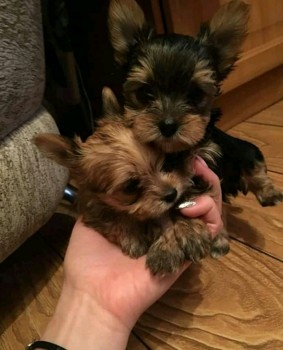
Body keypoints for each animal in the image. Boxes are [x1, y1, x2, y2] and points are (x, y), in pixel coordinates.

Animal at [34, 87, 230, 274]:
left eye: (167, 163)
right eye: (131, 187)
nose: (171, 194)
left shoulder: (192, 171)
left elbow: (183, 201)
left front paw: (188, 233)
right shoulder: (92, 205)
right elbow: (115, 217)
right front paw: (136, 238)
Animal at [108, 0, 283, 206]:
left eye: (195, 94)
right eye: (145, 92)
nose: (168, 126)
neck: (174, 152)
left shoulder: (208, 157)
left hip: (244, 149)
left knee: (255, 164)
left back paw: (269, 192)